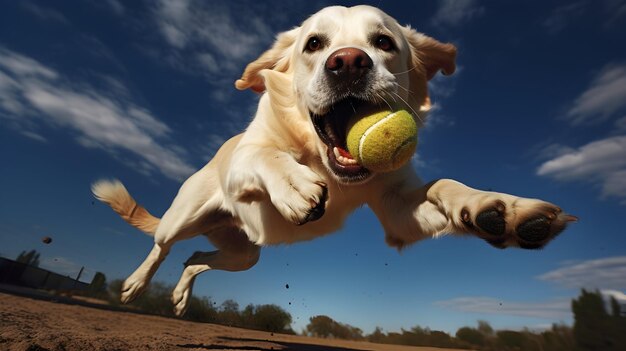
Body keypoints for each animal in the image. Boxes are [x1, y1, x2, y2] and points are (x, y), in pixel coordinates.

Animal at [90, 5, 572, 316]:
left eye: (383, 42)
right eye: (314, 44)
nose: (348, 62)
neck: (326, 164)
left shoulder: (398, 210)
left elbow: (445, 185)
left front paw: (499, 208)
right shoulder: (250, 156)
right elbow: (266, 152)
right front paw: (294, 184)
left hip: (245, 252)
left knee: (193, 258)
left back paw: (180, 296)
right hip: (185, 216)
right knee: (162, 246)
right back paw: (135, 285)